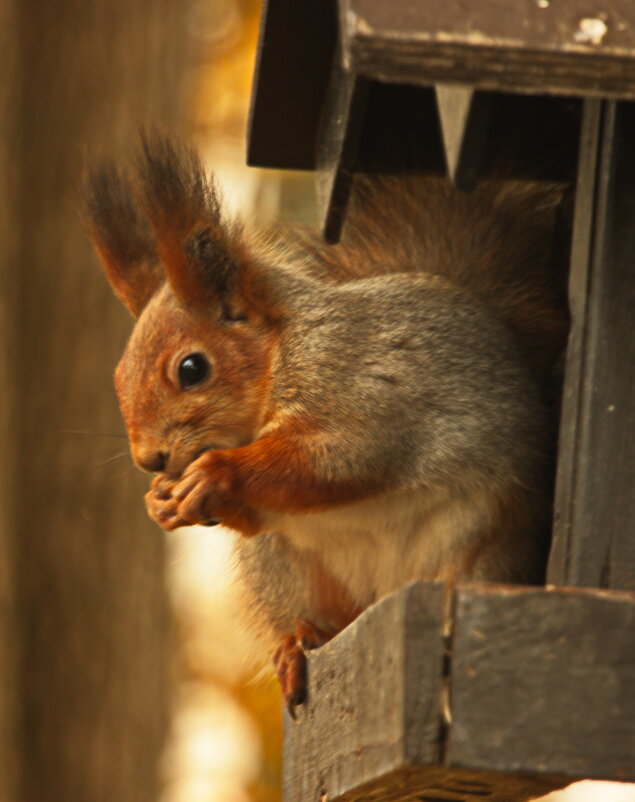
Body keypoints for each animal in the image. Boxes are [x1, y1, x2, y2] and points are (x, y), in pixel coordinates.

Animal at [85, 136, 572, 712]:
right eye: (118, 375)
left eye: (191, 369)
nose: (150, 460)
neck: (280, 355)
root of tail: (383, 593)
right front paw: (160, 500)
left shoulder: (358, 387)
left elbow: (339, 458)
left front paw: (217, 472)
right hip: (287, 570)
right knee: (316, 617)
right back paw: (299, 642)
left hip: (483, 547)